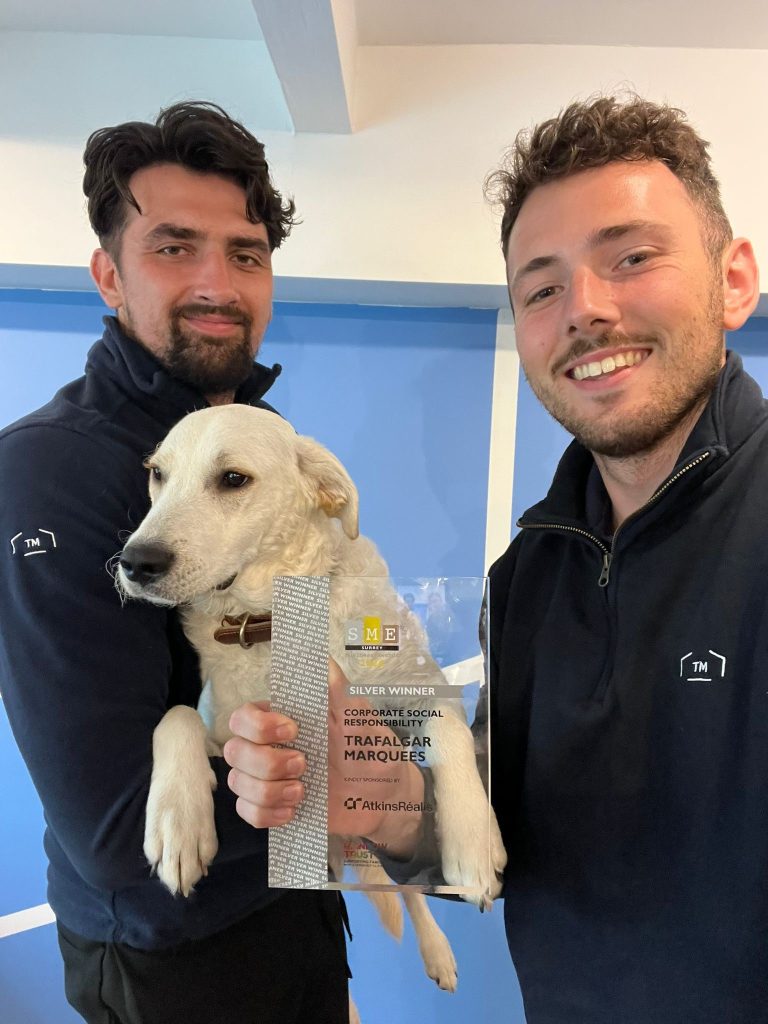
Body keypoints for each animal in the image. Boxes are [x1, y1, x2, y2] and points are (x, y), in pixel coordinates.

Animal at [117, 403, 507, 995]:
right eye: (158, 474)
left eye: (233, 479)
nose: (135, 562)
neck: (274, 617)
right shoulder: (225, 731)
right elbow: (177, 715)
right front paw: (176, 819)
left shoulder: (416, 691)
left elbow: (449, 731)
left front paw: (474, 840)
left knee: (408, 889)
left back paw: (438, 951)